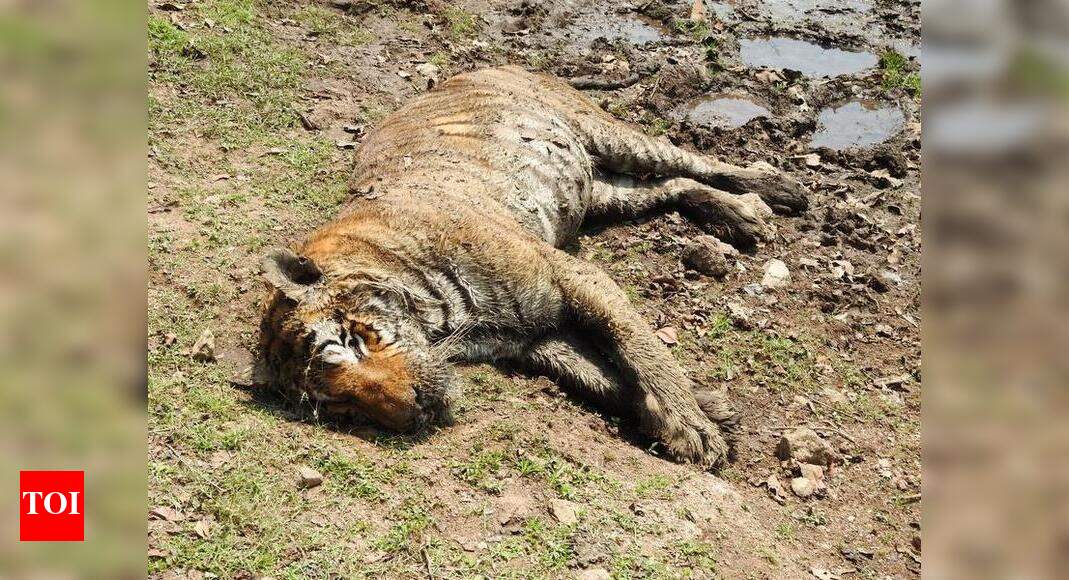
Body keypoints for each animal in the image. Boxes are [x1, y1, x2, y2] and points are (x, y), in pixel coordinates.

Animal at [256, 66, 806, 468]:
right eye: (338, 406)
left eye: (351, 342)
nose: (414, 412)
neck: (436, 321)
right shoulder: (538, 342)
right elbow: (607, 378)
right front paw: (705, 408)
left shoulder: (576, 276)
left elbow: (639, 349)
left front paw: (691, 426)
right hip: (604, 192)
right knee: (673, 186)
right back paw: (738, 213)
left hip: (612, 136)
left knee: (694, 161)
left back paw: (772, 191)